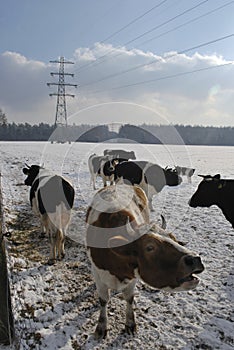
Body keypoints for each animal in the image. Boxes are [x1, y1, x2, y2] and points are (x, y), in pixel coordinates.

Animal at [86, 183, 205, 340]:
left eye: (173, 238)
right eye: (150, 247)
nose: (195, 259)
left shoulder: (133, 277)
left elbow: (129, 298)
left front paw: (130, 323)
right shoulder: (98, 274)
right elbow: (104, 300)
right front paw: (101, 326)